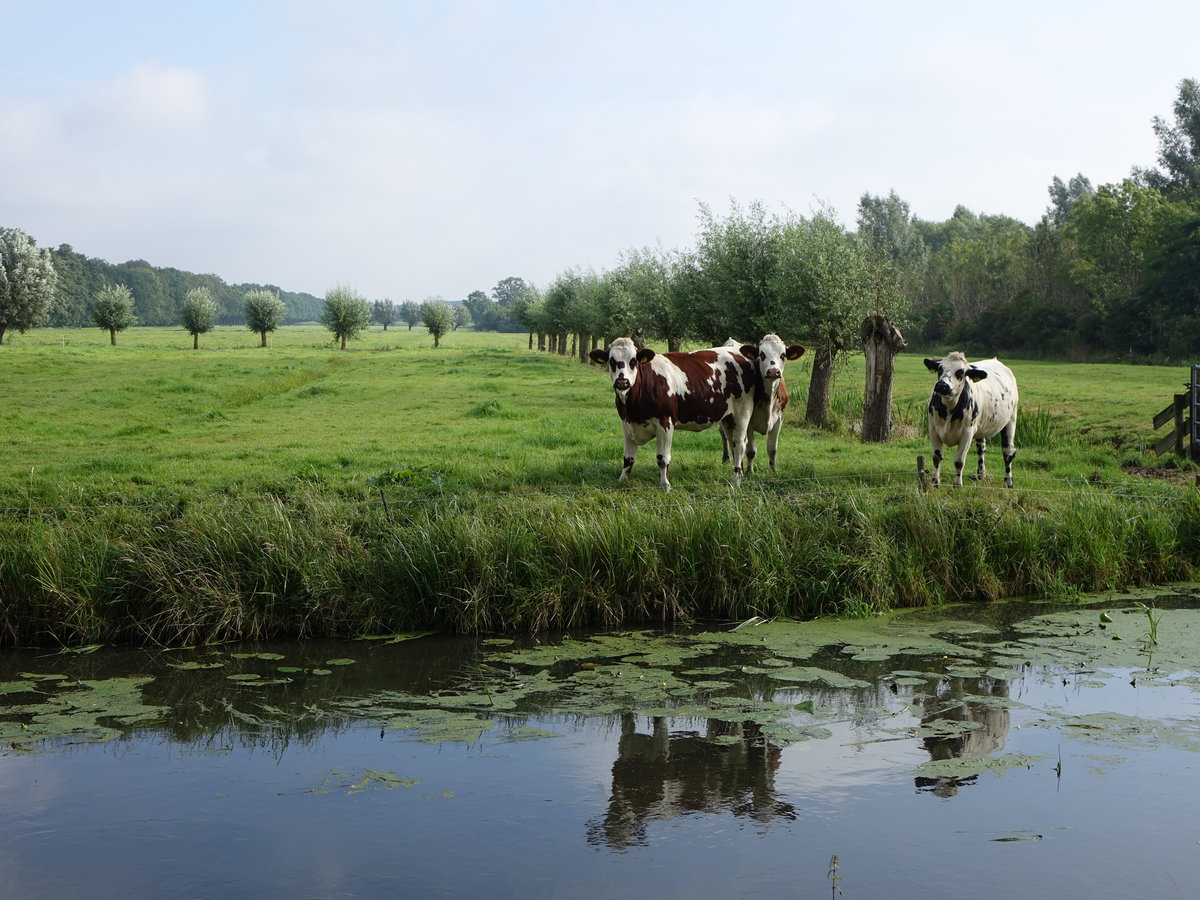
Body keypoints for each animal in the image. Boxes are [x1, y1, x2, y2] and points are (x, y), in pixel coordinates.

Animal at [588, 338, 753, 494]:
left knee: (739, 444)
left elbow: (662, 458)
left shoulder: (665, 423)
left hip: (742, 412)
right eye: (612, 360)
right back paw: (740, 473)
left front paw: (665, 485)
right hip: (728, 418)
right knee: (732, 443)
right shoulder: (627, 424)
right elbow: (628, 458)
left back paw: (735, 480)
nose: (622, 381)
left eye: (633, 361)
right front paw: (622, 481)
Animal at [715, 336, 811, 475]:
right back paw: (727, 458)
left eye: (783, 355)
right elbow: (751, 450)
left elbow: (772, 448)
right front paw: (749, 471)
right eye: (762, 354)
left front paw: (773, 469)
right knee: (726, 436)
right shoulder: (748, 422)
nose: (773, 371)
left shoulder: (779, 418)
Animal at [921, 355, 1017, 494]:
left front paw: (957, 485)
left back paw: (1008, 483)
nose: (942, 385)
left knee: (1008, 452)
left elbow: (959, 461)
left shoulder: (967, 432)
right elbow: (936, 457)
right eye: (940, 369)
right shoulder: (933, 429)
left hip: (1011, 420)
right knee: (981, 448)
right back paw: (981, 475)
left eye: (961, 372)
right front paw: (935, 483)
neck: (949, 408)